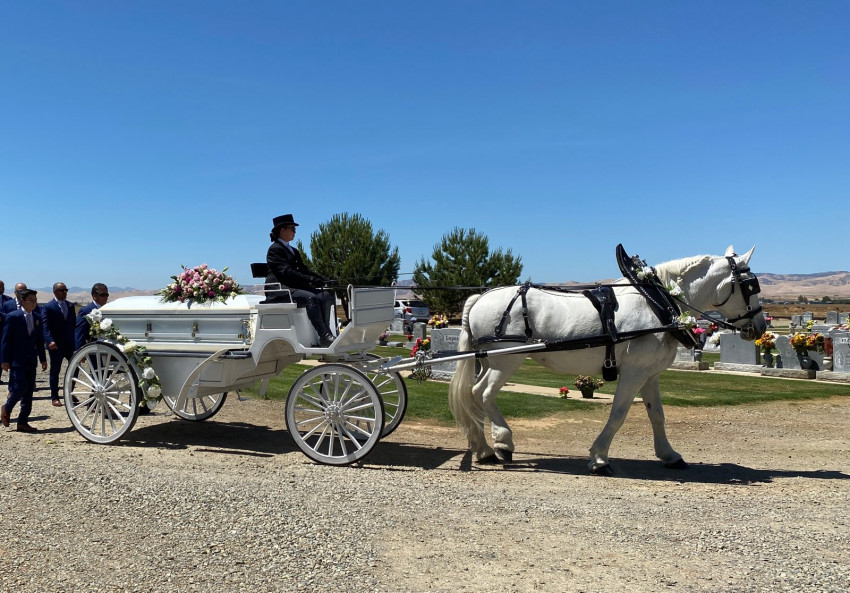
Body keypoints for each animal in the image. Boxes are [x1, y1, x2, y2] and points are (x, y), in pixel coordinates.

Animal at [448, 246, 766, 474]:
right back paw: (502, 443)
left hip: (490, 361)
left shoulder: (649, 374)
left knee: (474, 394)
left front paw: (670, 455)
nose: (760, 328)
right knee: (483, 393)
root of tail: (479, 298)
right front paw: (599, 458)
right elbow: (619, 413)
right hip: (506, 360)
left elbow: (657, 415)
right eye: (752, 285)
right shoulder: (634, 372)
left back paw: (482, 448)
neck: (658, 302)